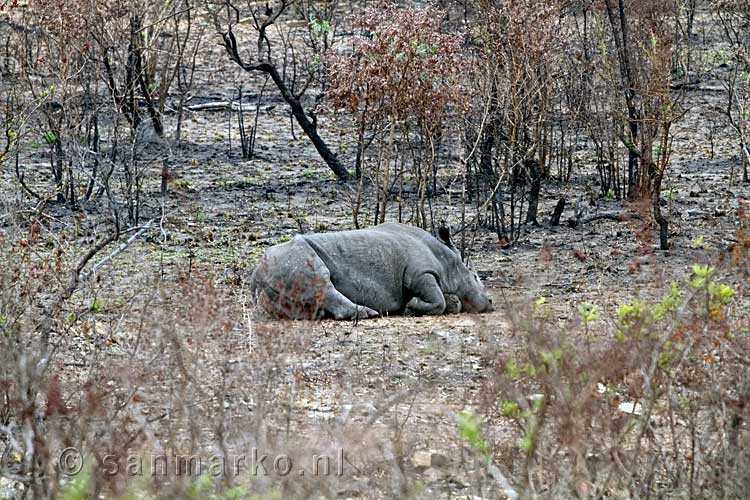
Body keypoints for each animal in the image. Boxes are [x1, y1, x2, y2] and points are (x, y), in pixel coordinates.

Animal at [248, 224, 494, 320]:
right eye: (475, 277)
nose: (491, 302)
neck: (448, 260)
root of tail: (256, 275)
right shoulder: (421, 273)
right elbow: (437, 299)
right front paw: (411, 308)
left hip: (278, 265)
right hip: (294, 258)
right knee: (322, 283)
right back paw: (370, 313)